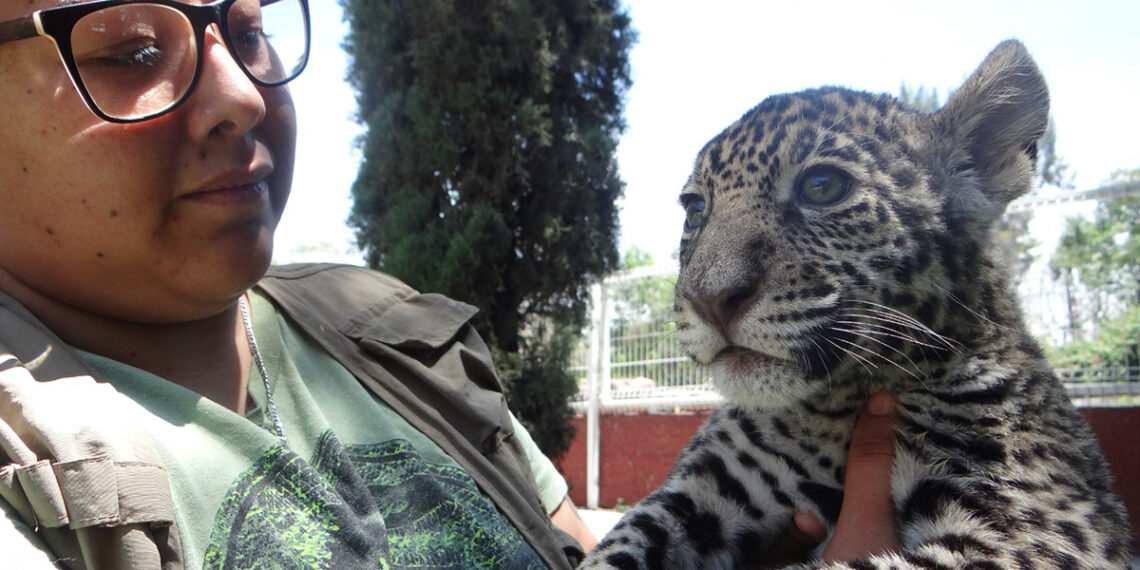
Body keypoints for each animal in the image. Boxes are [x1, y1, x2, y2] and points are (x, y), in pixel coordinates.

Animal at [580, 40, 1132, 569]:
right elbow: (616, 545)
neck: (838, 410)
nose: (709, 300)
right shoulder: (702, 489)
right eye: (696, 210)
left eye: (822, 187)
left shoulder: (1037, 528)